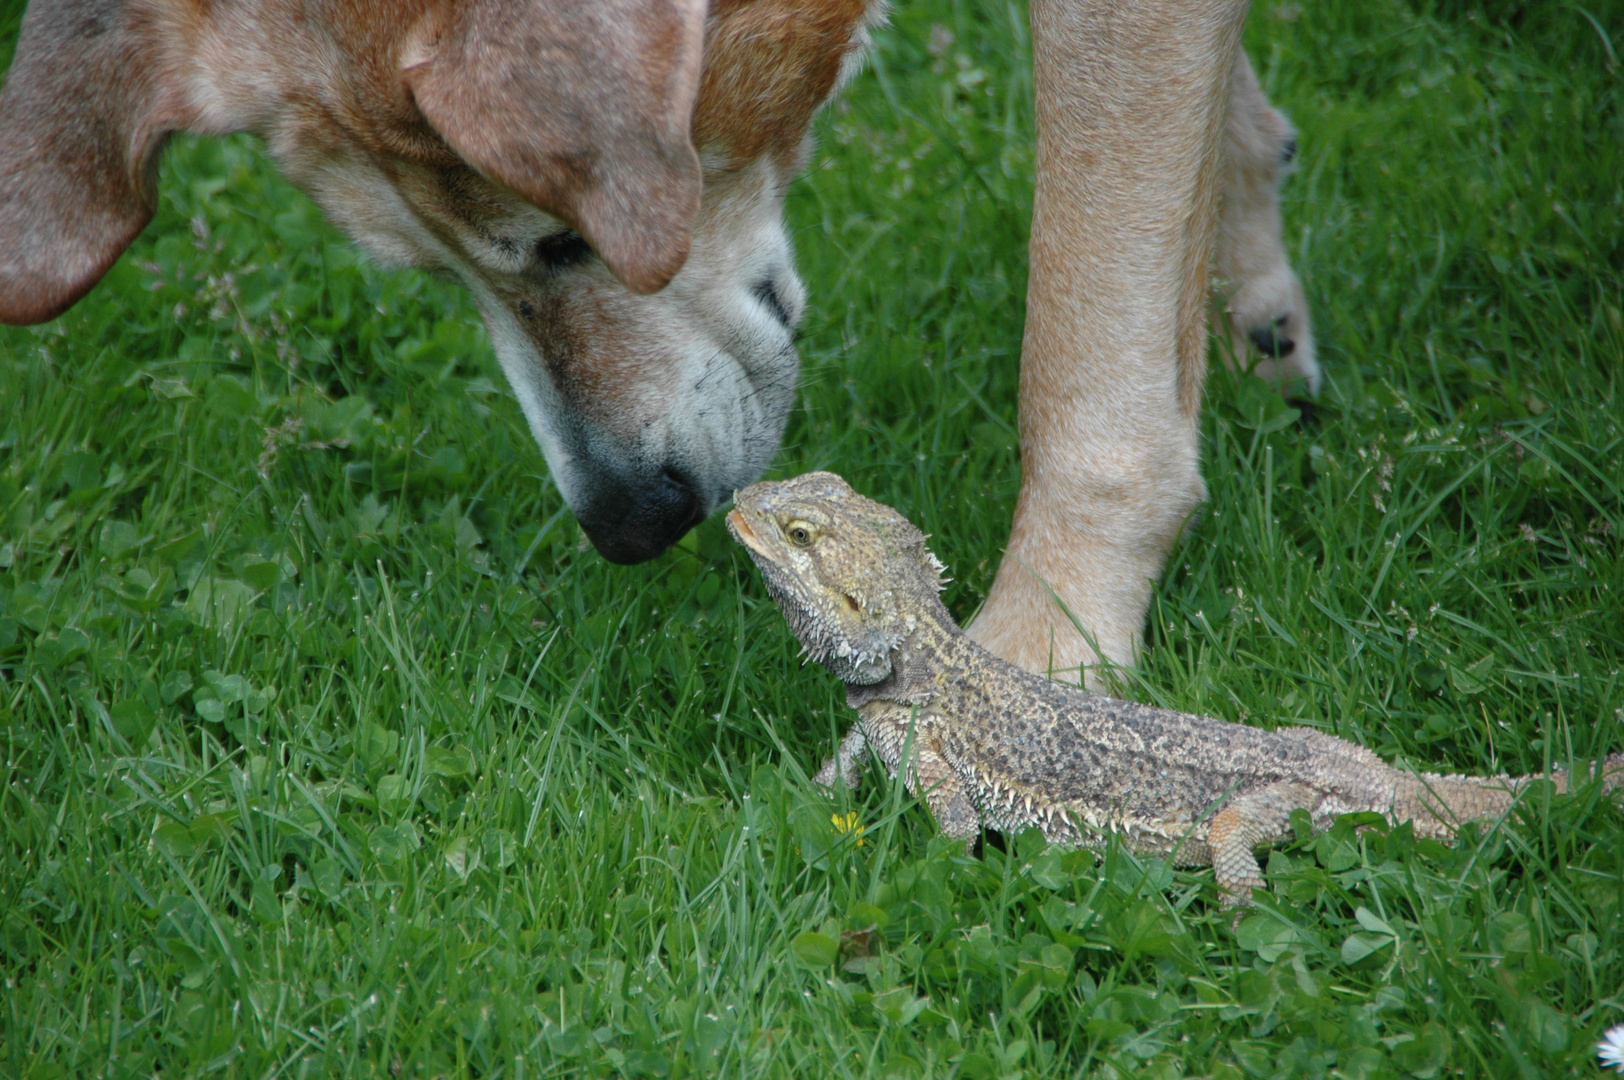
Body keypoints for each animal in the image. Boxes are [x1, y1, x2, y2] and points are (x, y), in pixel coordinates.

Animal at [0, 2, 1312, 682]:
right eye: (436, 276)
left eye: (565, 238)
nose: (627, 525)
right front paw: (1245, 281)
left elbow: (1088, 337)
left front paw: (1044, 643)